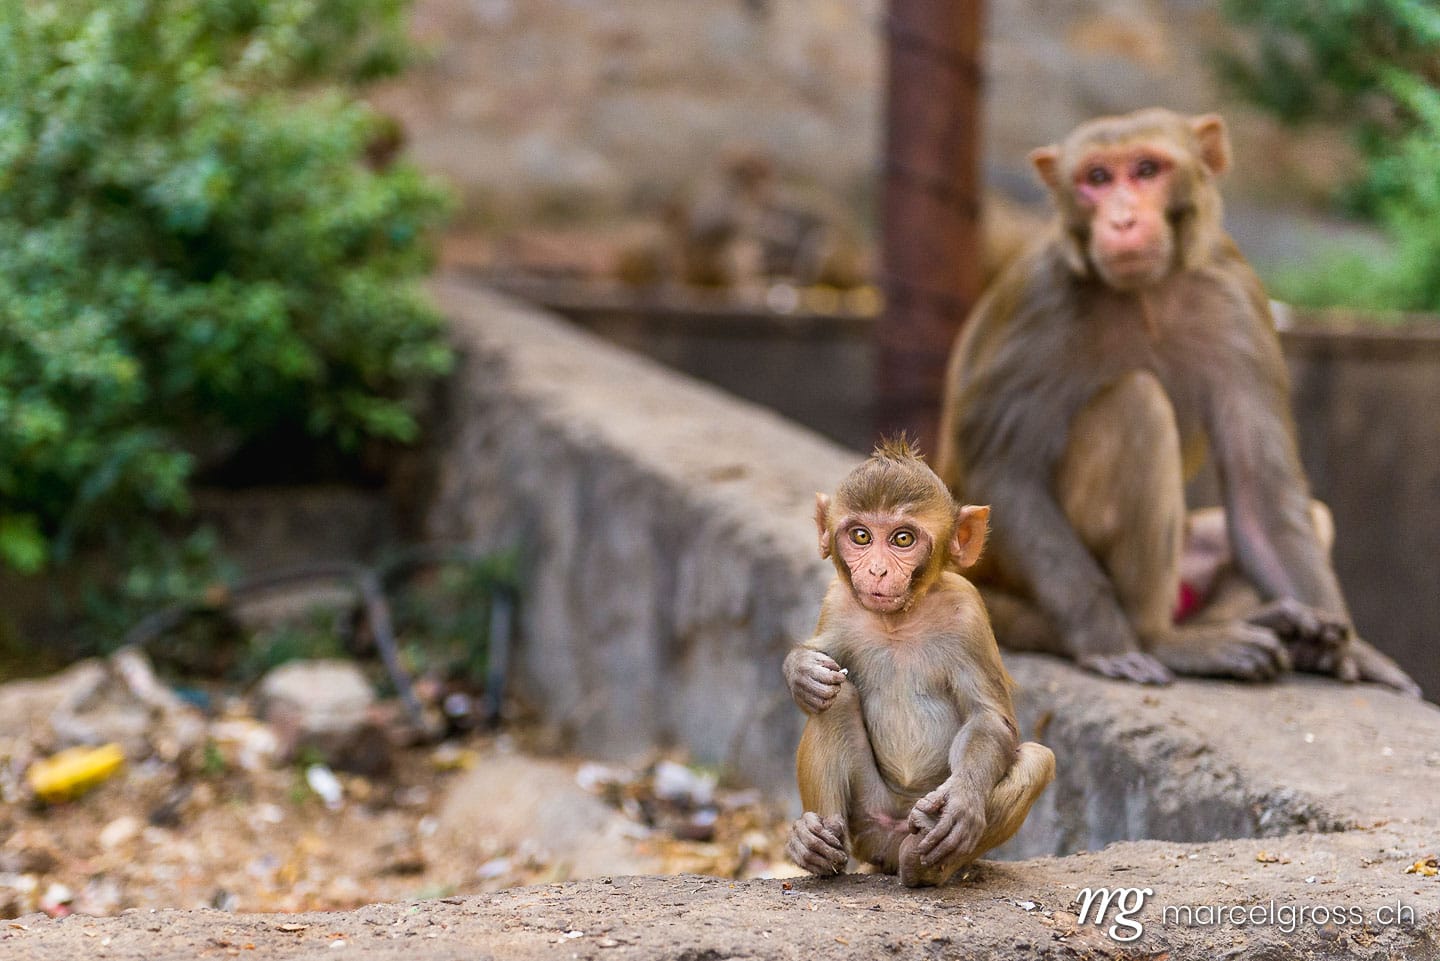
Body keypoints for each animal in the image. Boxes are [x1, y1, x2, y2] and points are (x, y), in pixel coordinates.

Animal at [782, 439, 1055, 886]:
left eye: (903, 539)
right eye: (861, 535)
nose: (877, 571)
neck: (899, 620)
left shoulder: (968, 614)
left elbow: (989, 719)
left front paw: (960, 802)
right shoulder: (838, 601)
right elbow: (821, 669)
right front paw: (802, 672)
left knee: (1036, 759)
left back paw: (922, 862)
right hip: (868, 821)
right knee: (834, 700)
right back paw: (814, 844)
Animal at [934, 108, 1420, 696]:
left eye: (1147, 169)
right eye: (1097, 178)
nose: (1123, 220)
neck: (1147, 293)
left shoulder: (1234, 298)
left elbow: (1260, 494)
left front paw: (1351, 650)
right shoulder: (1042, 301)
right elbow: (1003, 471)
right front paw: (1109, 640)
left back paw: (1266, 622)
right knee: (1137, 403)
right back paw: (1164, 639)